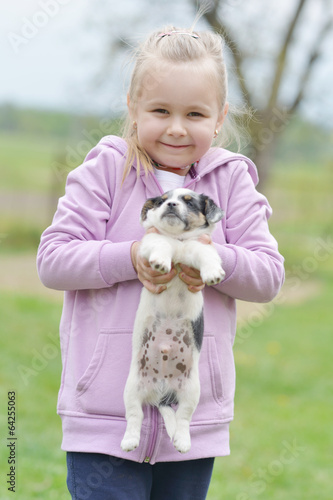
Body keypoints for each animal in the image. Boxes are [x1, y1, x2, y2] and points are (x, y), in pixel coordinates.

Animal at [120, 187, 224, 454]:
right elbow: (160, 244)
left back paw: (182, 441)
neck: (178, 241)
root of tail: (161, 392)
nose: (171, 205)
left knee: (184, 418)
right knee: (135, 416)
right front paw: (160, 261)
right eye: (163, 200)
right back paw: (130, 440)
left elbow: (205, 254)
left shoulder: (198, 248)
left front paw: (213, 273)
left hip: (192, 390)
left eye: (189, 202)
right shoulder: (151, 242)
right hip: (132, 388)